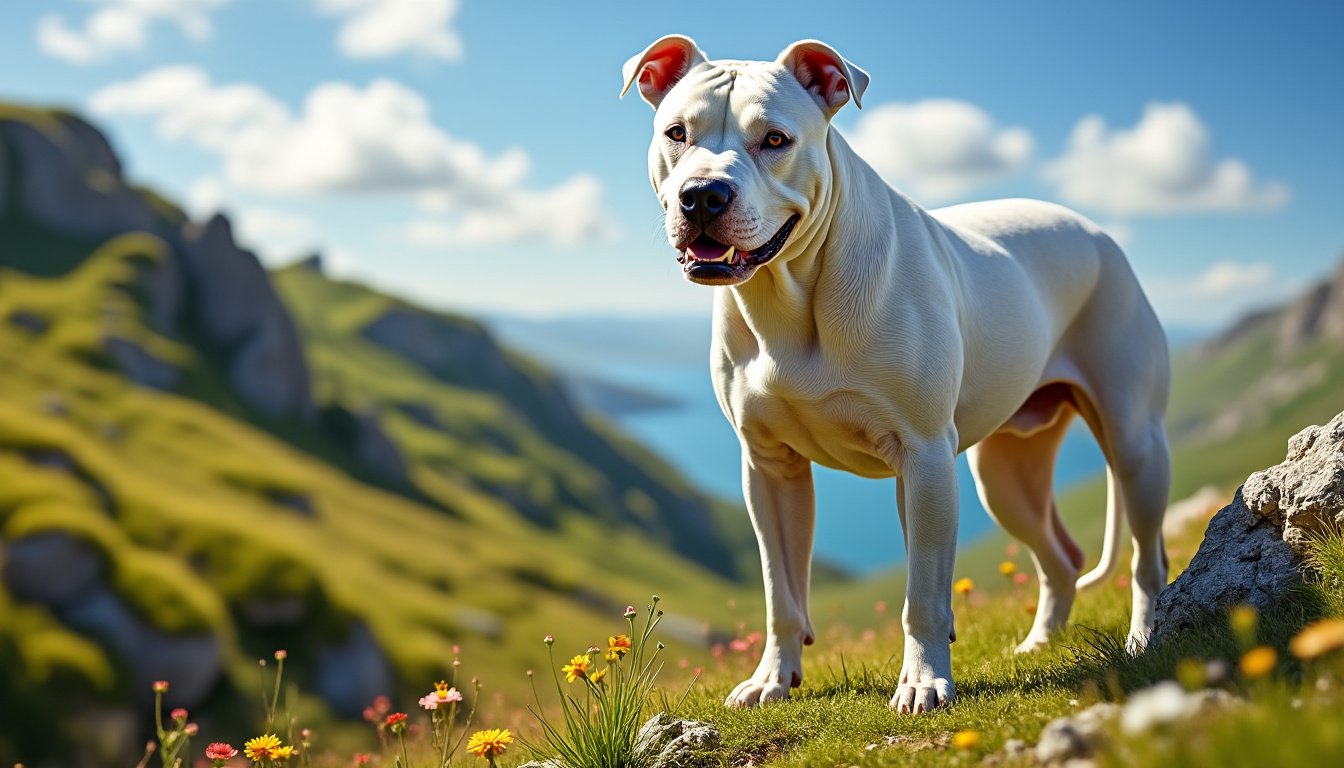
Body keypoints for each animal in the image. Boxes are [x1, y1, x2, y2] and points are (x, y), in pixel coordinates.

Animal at [618, 37, 1166, 715]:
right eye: (677, 132)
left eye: (775, 139)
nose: (702, 195)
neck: (790, 294)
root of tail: (1095, 231)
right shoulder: (769, 469)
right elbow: (780, 592)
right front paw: (773, 678)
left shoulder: (924, 456)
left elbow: (923, 593)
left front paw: (925, 681)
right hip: (1005, 475)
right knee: (1060, 557)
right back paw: (1038, 644)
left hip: (1135, 444)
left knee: (1147, 554)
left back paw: (1145, 638)